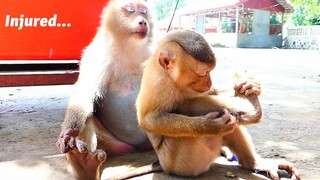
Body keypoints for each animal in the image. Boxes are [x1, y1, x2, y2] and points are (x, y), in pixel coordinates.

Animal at [54, 0, 154, 179]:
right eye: (130, 9)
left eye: (143, 11)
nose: (142, 21)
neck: (128, 46)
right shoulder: (97, 54)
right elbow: (85, 92)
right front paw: (69, 132)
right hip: (115, 144)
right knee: (88, 116)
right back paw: (84, 167)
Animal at [134, 29, 300, 180]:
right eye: (201, 74)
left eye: (210, 71)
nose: (209, 82)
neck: (173, 79)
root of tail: (162, 165)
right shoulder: (159, 82)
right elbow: (149, 120)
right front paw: (209, 126)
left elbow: (214, 92)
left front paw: (252, 86)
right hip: (182, 162)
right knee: (187, 104)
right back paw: (251, 113)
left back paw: (253, 162)